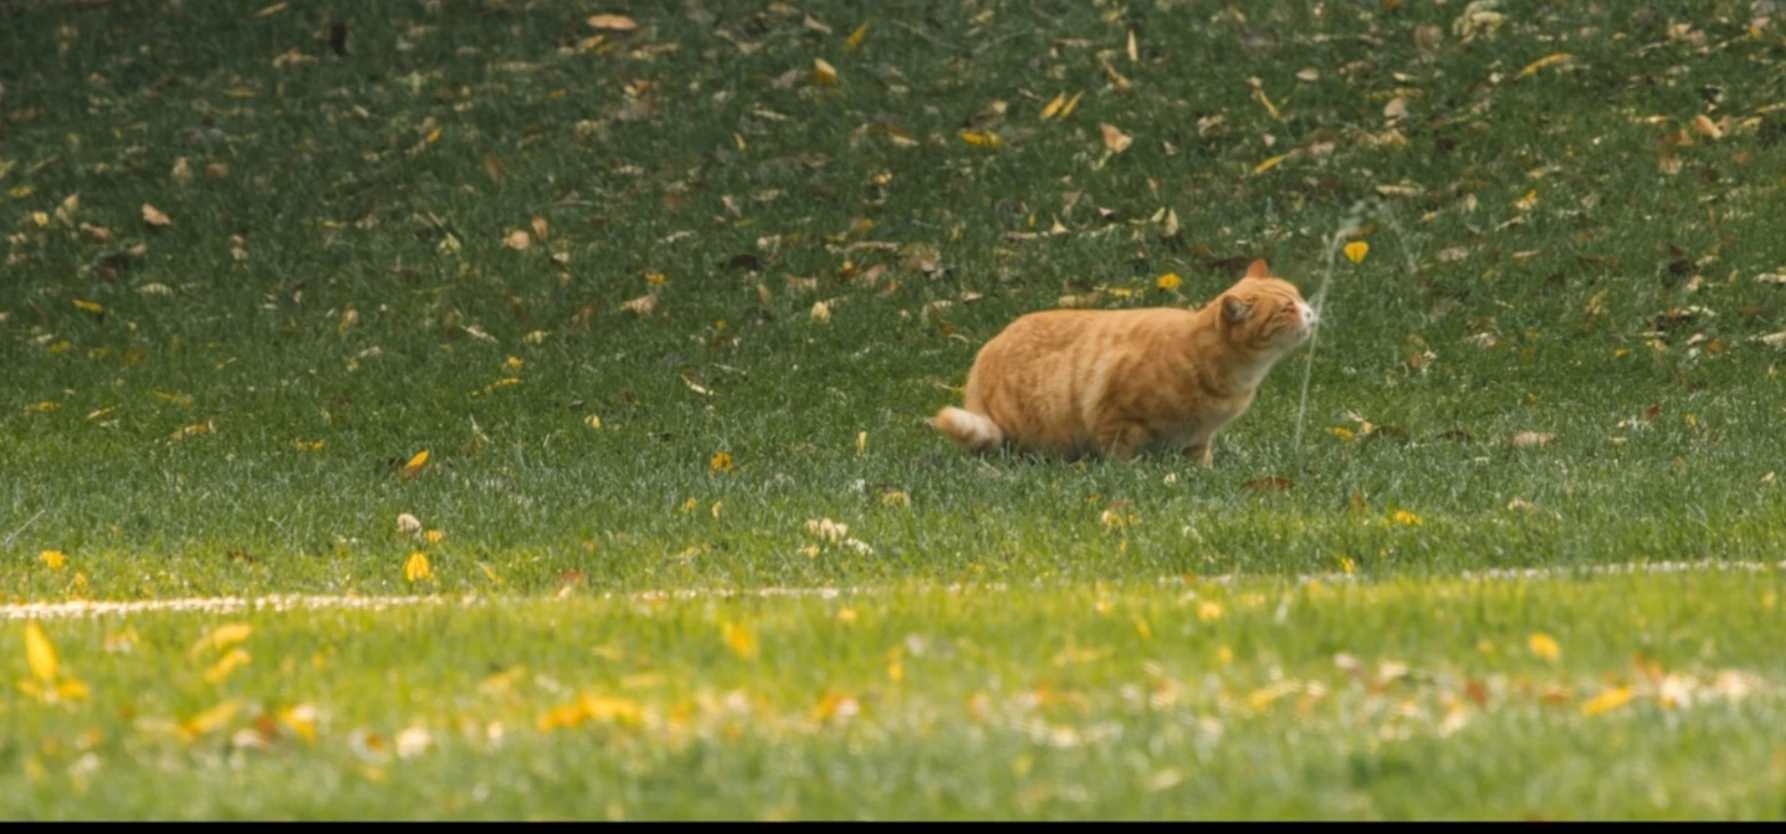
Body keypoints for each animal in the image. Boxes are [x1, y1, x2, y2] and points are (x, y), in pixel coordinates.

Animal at [935, 260, 1314, 467]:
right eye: (1286, 309)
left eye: (1298, 297)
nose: (1311, 312)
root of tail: (984, 353)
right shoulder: (1115, 417)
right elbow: (1121, 457)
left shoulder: (1199, 436)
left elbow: (1200, 458)